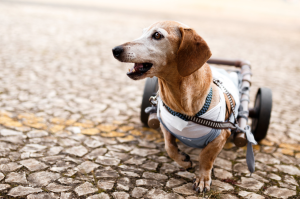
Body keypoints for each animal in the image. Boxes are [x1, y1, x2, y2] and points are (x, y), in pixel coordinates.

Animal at [112, 21, 237, 193]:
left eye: (157, 35)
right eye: (143, 32)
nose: (115, 50)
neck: (183, 107)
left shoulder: (222, 135)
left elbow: (206, 157)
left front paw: (202, 178)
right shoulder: (165, 126)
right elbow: (170, 147)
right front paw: (183, 160)